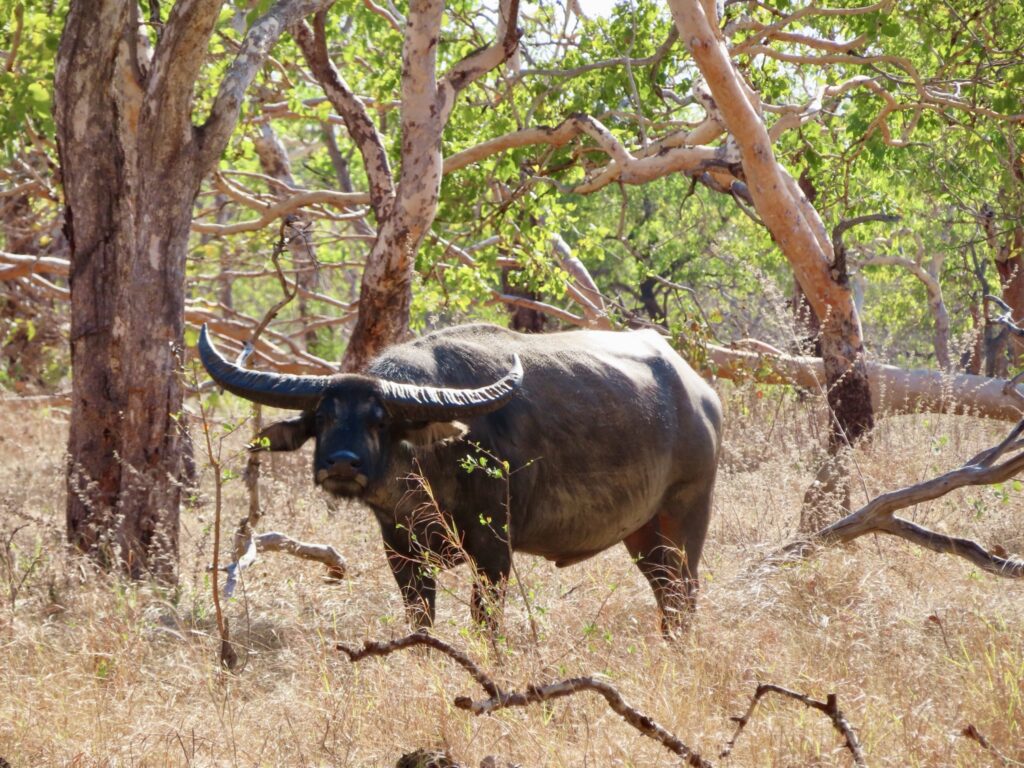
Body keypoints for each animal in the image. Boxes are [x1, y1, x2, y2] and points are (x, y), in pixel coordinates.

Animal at [198, 323, 722, 634]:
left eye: (379, 419)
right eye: (322, 417)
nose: (342, 464)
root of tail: (700, 394)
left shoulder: (493, 550)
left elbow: (484, 622)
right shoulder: (400, 551)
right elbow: (421, 619)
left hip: (686, 515)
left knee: (685, 593)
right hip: (642, 533)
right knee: (665, 593)